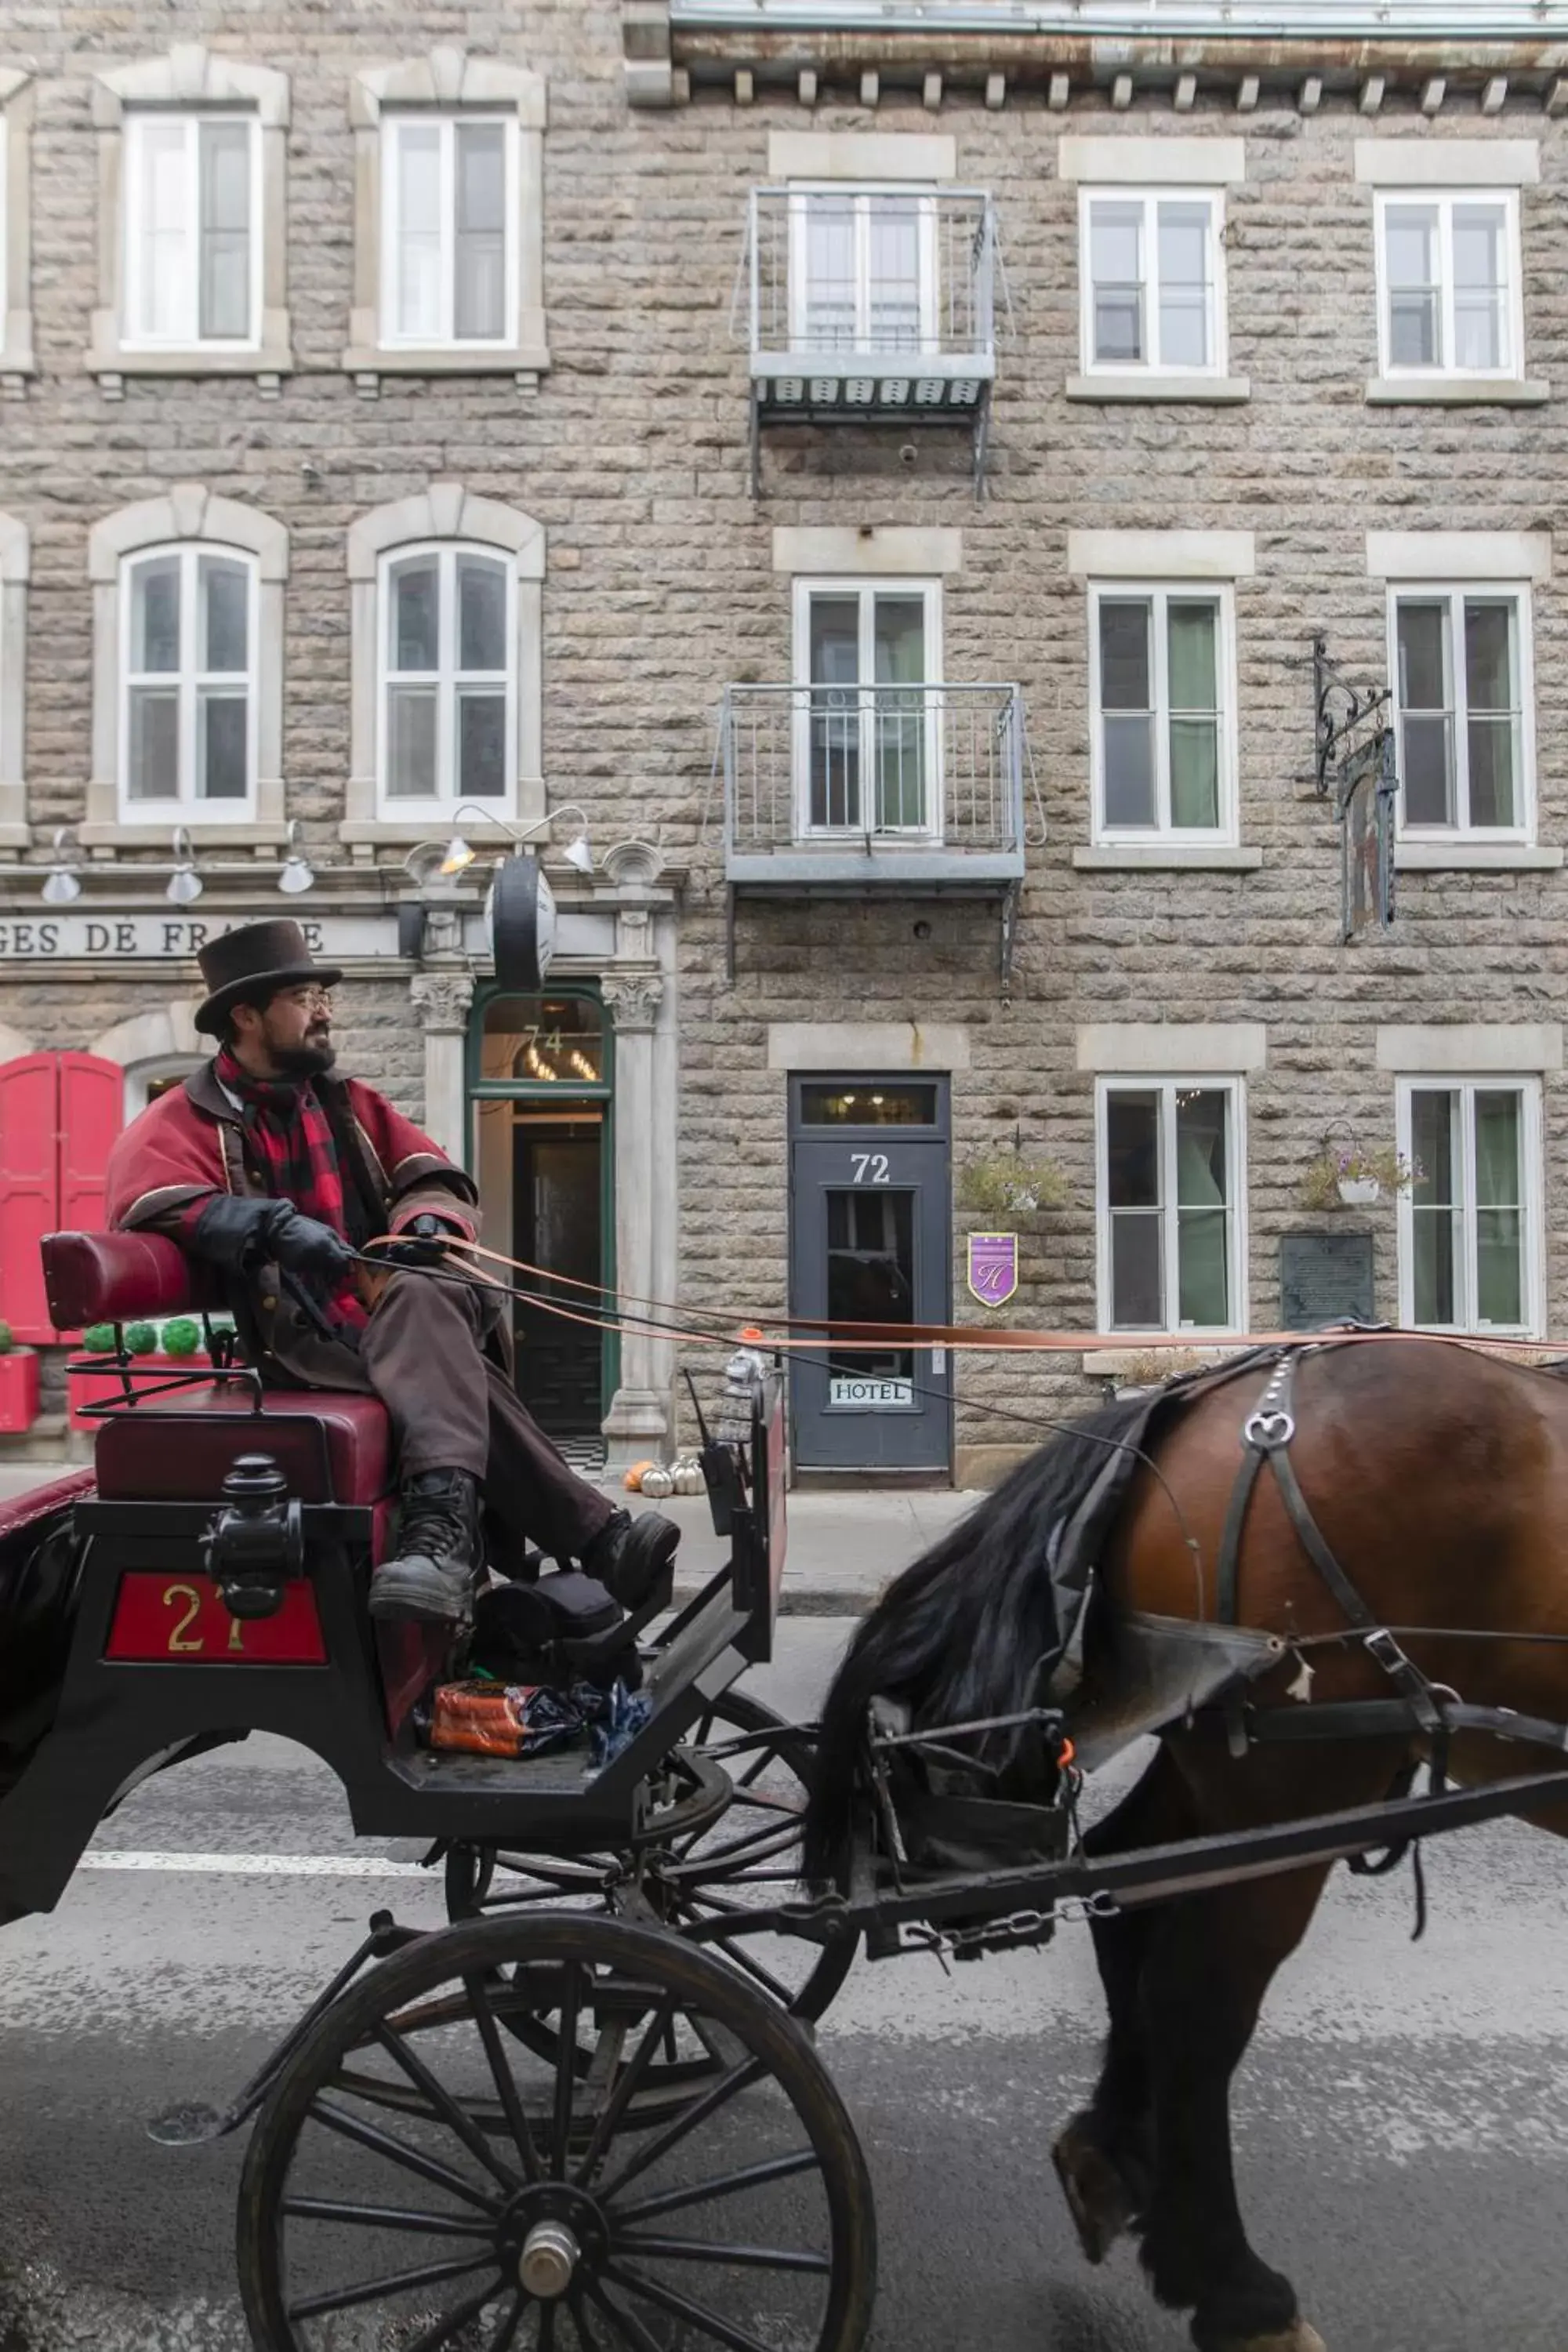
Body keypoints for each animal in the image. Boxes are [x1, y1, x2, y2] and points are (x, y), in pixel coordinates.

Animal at [804, 1336, 1568, 2352]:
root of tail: (1192, 1404)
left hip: (1217, 1748)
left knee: (1130, 1911)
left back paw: (1110, 2167)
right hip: (1293, 1770)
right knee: (1197, 1999)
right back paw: (1234, 2289)